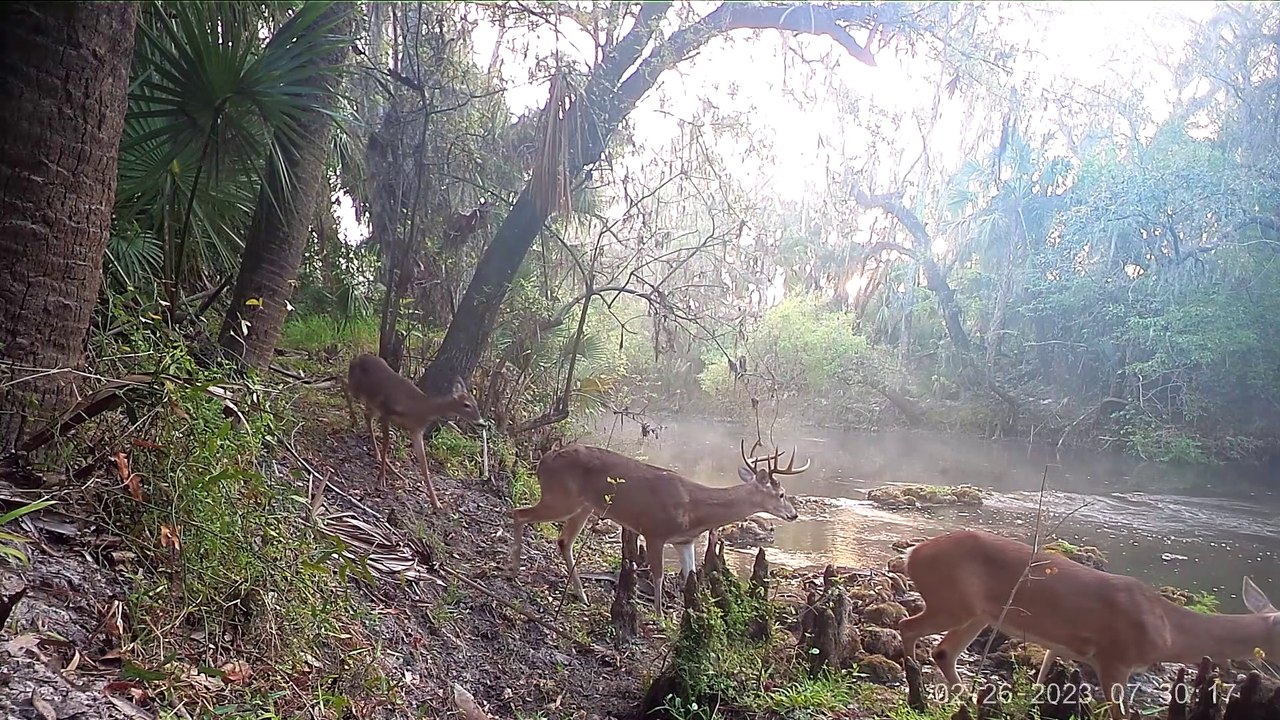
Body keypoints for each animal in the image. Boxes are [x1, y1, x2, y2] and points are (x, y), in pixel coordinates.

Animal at [343, 353, 483, 510]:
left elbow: (424, 465)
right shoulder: (387, 412)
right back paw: (354, 420)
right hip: (359, 389)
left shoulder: (416, 431)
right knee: (342, 382)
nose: (480, 422)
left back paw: (381, 458)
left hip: (371, 401)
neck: (420, 409)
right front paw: (381, 479)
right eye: (466, 405)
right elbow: (386, 444)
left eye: (476, 404)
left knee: (366, 415)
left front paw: (436, 502)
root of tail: (357, 357)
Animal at [507, 439, 811, 615]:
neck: (695, 507)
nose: (794, 514)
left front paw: (690, 614)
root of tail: (542, 461)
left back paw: (581, 596)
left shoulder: (684, 540)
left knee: (563, 541)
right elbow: (659, 575)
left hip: (583, 506)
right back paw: (513, 571)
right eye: (781, 494)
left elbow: (691, 577)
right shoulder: (655, 531)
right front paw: (660, 616)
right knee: (518, 513)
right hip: (561, 496)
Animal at [898, 529, 1280, 719]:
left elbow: (1041, 683)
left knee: (944, 651)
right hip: (951, 602)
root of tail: (912, 552)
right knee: (907, 626)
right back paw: (918, 696)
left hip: (977, 613)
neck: (1169, 630)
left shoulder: (1061, 648)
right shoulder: (1114, 659)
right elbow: (1119, 715)